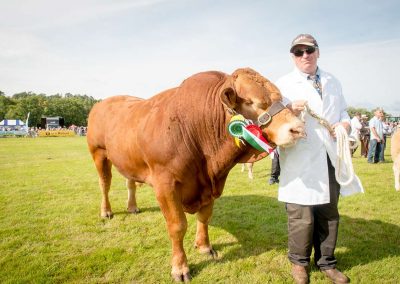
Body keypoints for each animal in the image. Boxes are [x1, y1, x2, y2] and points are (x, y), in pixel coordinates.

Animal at [87, 67, 304, 280]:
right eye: (251, 101)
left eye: (280, 98)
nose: (298, 128)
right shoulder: (165, 184)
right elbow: (177, 226)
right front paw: (180, 267)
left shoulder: (210, 184)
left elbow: (204, 216)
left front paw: (204, 247)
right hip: (98, 153)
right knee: (104, 183)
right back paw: (106, 211)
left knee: (130, 183)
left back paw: (132, 207)